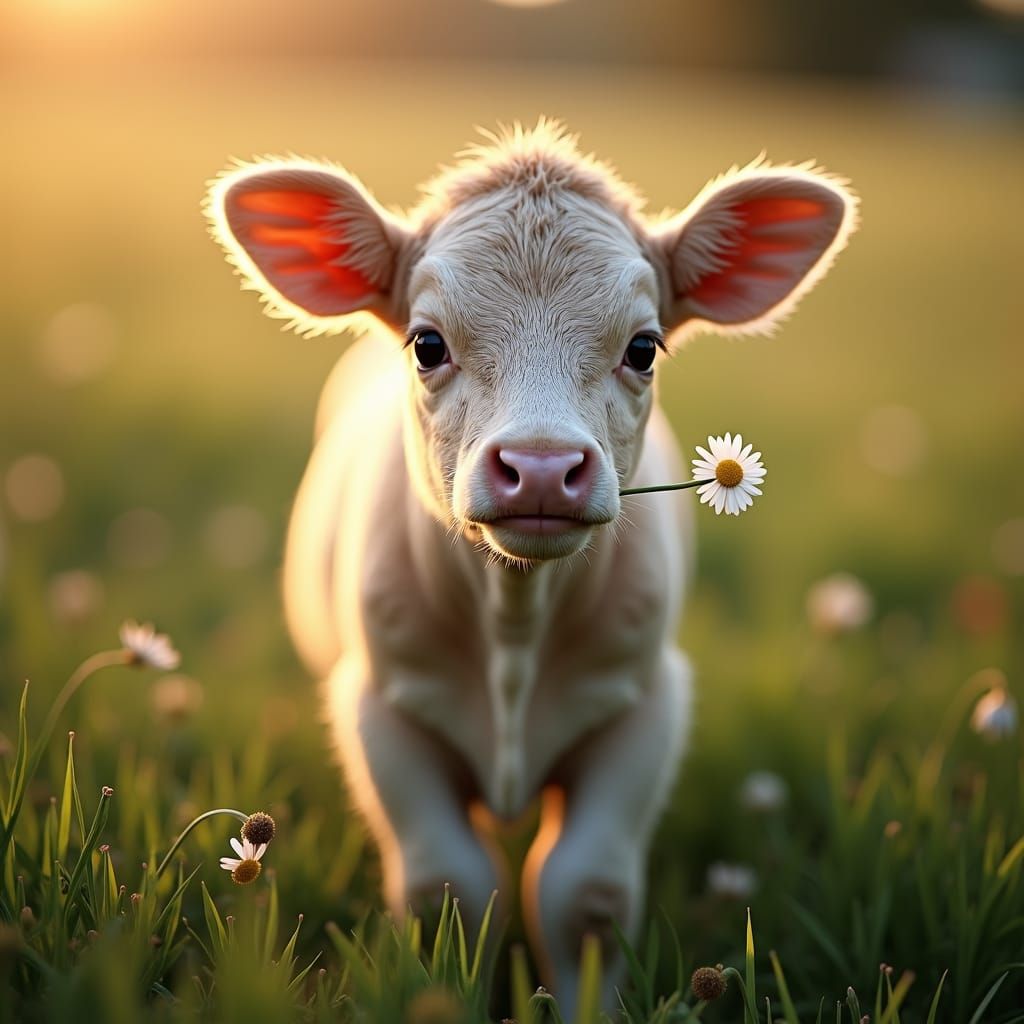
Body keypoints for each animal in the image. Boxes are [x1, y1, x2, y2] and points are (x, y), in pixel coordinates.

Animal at [206, 120, 856, 1011]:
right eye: (428, 343)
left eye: (643, 348)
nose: (543, 467)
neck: (514, 624)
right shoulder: (380, 705)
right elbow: (448, 887)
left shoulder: (644, 702)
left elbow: (585, 892)